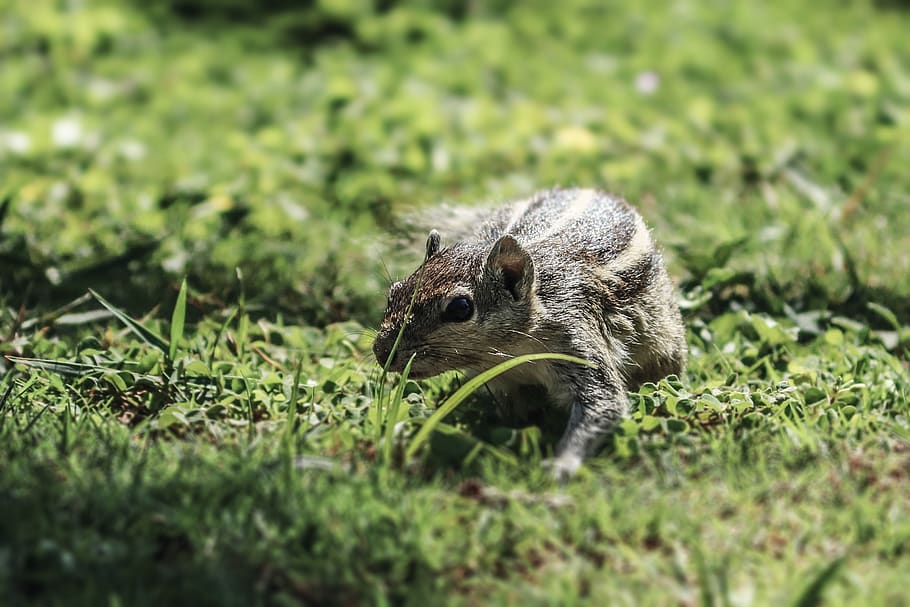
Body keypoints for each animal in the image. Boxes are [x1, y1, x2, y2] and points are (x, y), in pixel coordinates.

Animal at [373, 187, 687, 478]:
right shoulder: (502, 383)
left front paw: (561, 464)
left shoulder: (578, 341)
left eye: (460, 308)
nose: (382, 352)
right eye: (394, 292)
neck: (513, 351)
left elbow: (602, 403)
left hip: (665, 341)